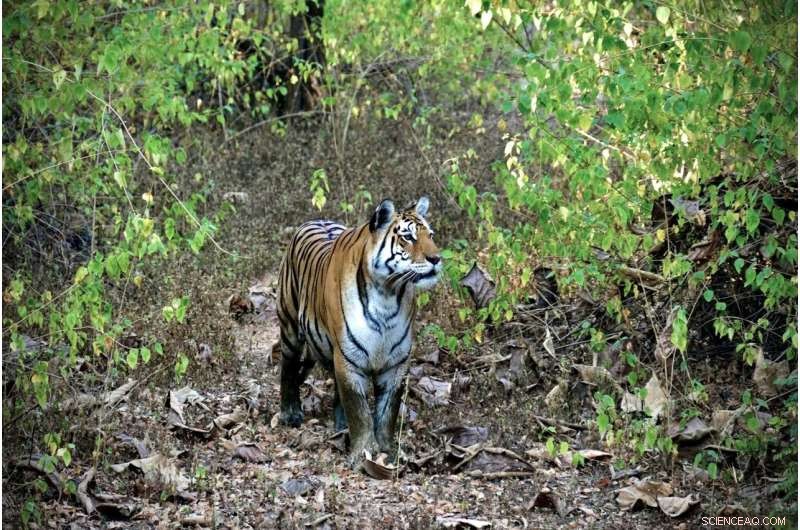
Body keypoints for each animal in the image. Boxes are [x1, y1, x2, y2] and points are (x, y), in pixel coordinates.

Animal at [276, 197, 442, 469]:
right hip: (289, 324)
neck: (388, 295)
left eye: (431, 235)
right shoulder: (348, 357)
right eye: (408, 237)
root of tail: (315, 219)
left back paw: (339, 423)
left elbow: (387, 411)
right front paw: (363, 454)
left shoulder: (396, 363)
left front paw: (388, 451)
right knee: (288, 368)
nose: (436, 259)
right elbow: (359, 409)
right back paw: (290, 412)